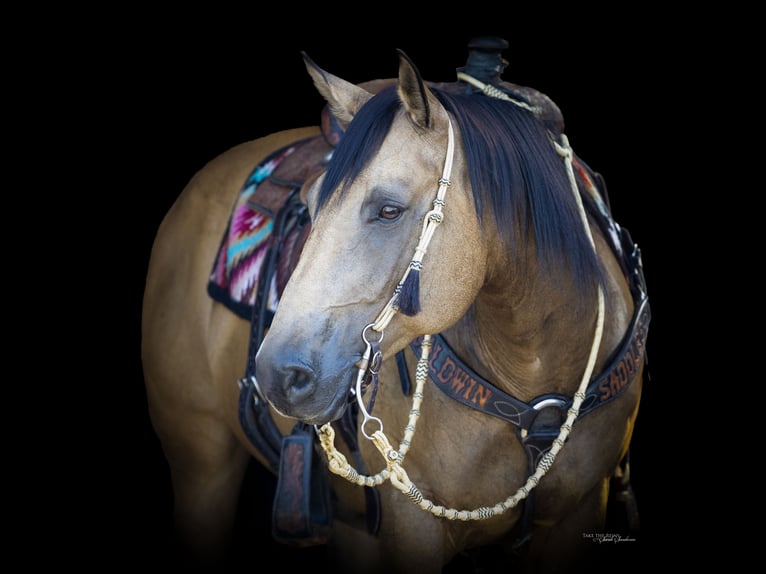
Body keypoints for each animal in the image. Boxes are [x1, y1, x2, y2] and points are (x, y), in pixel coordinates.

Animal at [141, 38, 652, 572]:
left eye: (389, 210)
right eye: (310, 202)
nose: (278, 375)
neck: (533, 376)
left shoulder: (580, 511)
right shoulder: (413, 529)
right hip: (203, 468)